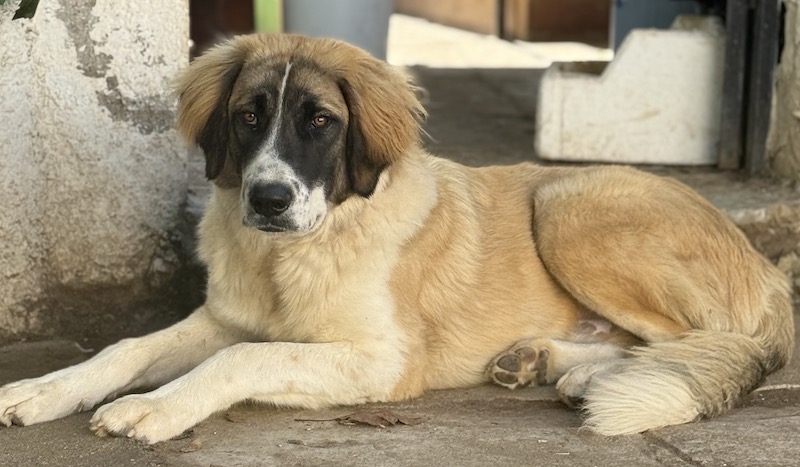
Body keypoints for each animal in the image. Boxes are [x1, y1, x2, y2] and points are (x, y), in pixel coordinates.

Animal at [0, 34, 794, 443]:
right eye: (250, 116)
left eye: (321, 122)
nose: (268, 199)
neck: (296, 252)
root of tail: (769, 273)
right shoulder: (224, 318)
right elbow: (126, 348)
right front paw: (44, 388)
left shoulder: (382, 361)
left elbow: (245, 358)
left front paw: (154, 407)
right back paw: (543, 362)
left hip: (568, 202)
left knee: (707, 341)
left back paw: (585, 376)